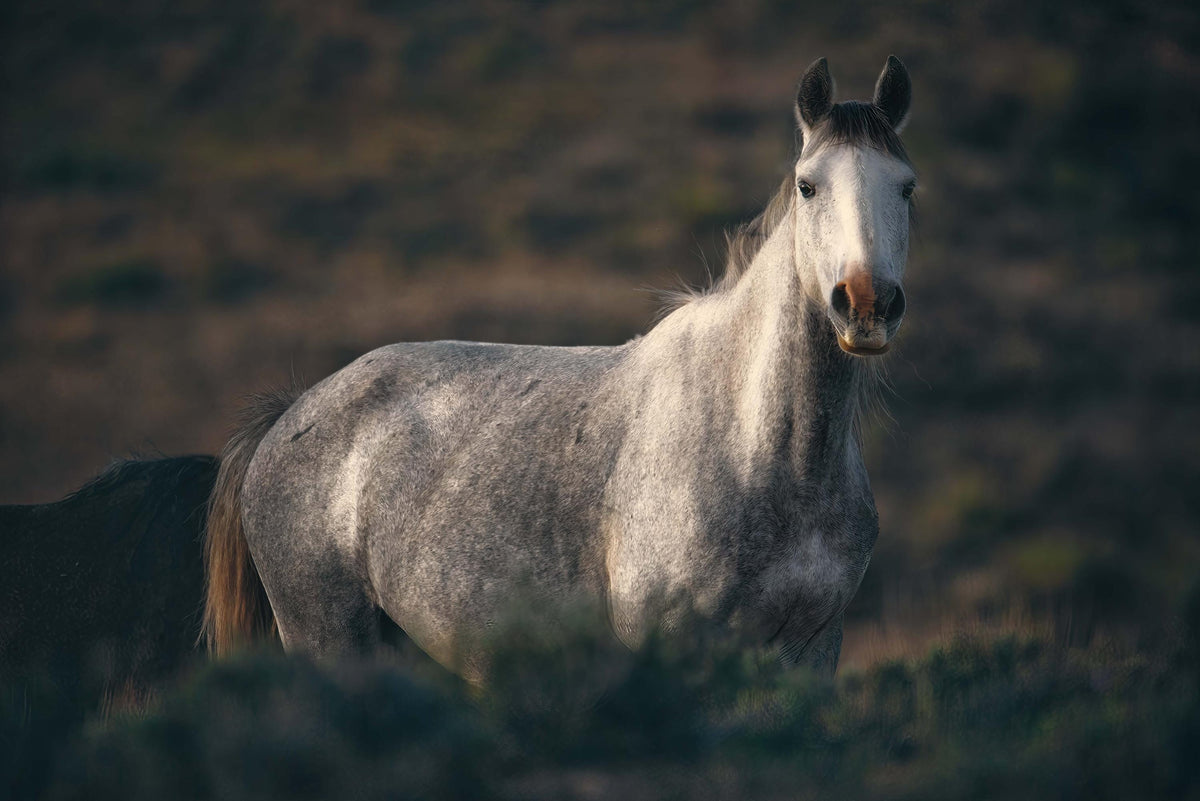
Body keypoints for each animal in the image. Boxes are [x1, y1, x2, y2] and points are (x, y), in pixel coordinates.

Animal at [203, 56, 917, 682]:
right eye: (807, 185)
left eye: (907, 186)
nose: (866, 303)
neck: (762, 449)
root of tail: (290, 415)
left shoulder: (810, 648)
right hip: (328, 636)